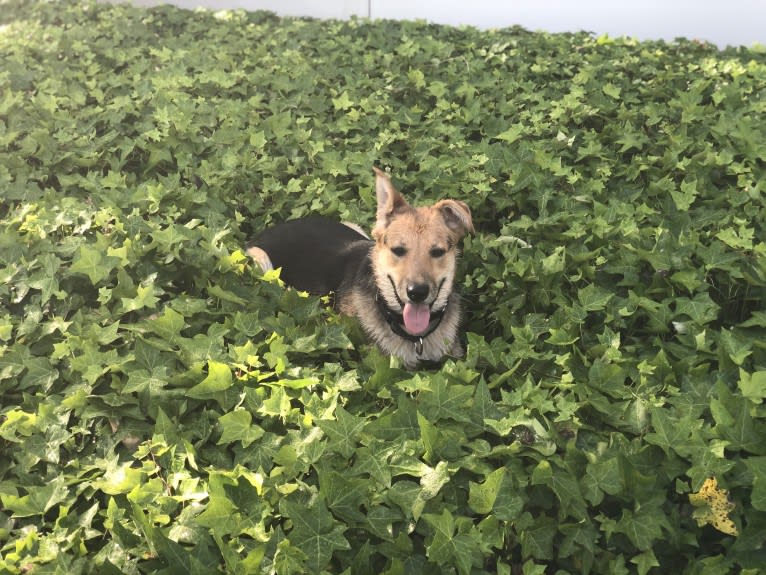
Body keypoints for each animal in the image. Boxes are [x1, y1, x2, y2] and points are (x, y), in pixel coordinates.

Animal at [246, 166, 474, 366]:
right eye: (398, 250)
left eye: (437, 252)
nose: (417, 293)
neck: (415, 337)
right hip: (262, 262)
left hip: (353, 226)